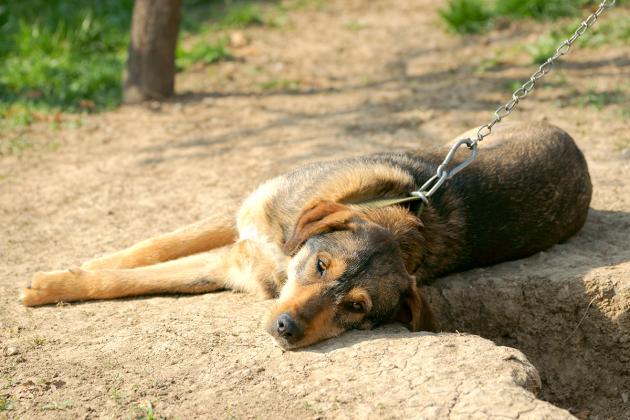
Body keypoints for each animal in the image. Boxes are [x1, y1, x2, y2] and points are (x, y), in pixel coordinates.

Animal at [18, 122, 592, 352]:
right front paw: (72, 270)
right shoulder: (245, 212)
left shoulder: (230, 266)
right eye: (320, 268)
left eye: (356, 307)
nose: (287, 328)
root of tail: (578, 149)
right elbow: (148, 250)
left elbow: (133, 279)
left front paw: (51, 285)